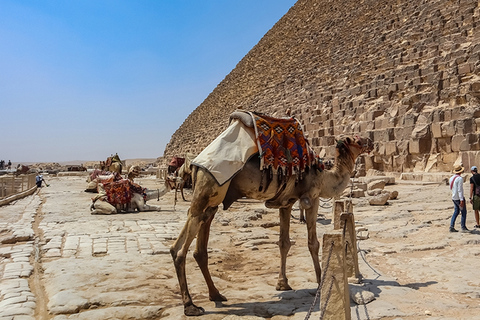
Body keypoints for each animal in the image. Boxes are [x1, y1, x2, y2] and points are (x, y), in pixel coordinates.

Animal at [170, 111, 376, 316]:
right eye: (356, 139)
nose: (371, 141)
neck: (325, 176)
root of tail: (196, 165)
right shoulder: (312, 198)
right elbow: (313, 243)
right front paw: (319, 283)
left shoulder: (286, 203)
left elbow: (284, 243)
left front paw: (282, 283)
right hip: (209, 187)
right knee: (179, 249)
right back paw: (190, 306)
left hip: (211, 201)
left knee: (198, 246)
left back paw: (216, 294)